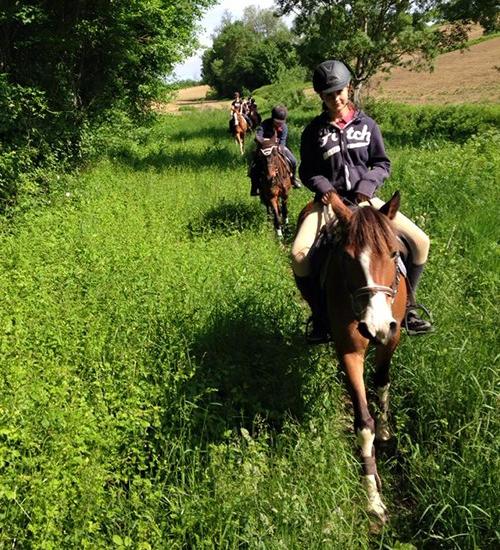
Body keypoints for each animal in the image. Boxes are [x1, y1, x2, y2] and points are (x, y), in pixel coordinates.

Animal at [320, 192, 406, 524]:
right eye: (346, 257)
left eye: (394, 254)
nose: (376, 325)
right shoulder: (349, 351)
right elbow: (362, 423)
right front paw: (373, 499)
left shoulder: (392, 336)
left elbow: (382, 382)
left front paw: (384, 430)